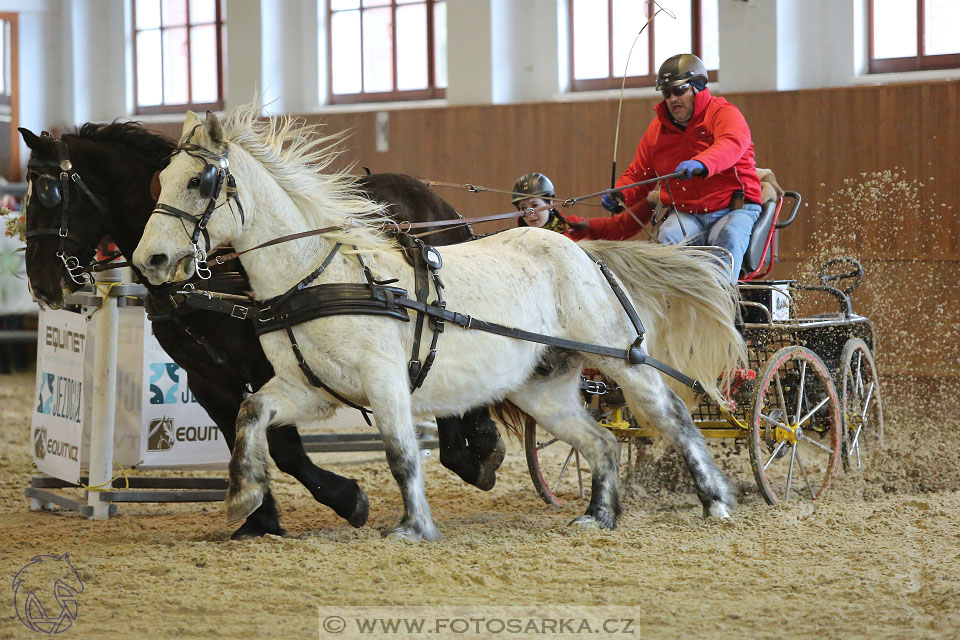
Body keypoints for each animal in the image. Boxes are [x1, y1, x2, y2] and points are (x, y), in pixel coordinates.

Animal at [20, 121, 502, 540]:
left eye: (48, 193)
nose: (42, 286)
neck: (211, 274)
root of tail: (434, 199)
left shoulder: (269, 364)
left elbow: (283, 444)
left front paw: (345, 499)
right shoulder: (207, 377)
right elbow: (242, 430)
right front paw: (259, 515)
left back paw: (477, 447)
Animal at [135, 106, 748, 540]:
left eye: (200, 181)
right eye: (158, 178)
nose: (150, 261)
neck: (318, 275)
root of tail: (582, 249)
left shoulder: (384, 379)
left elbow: (402, 452)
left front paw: (413, 527)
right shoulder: (310, 389)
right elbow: (252, 414)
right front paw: (245, 496)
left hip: (621, 357)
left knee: (670, 417)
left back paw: (716, 501)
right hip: (541, 387)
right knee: (600, 442)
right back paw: (599, 515)